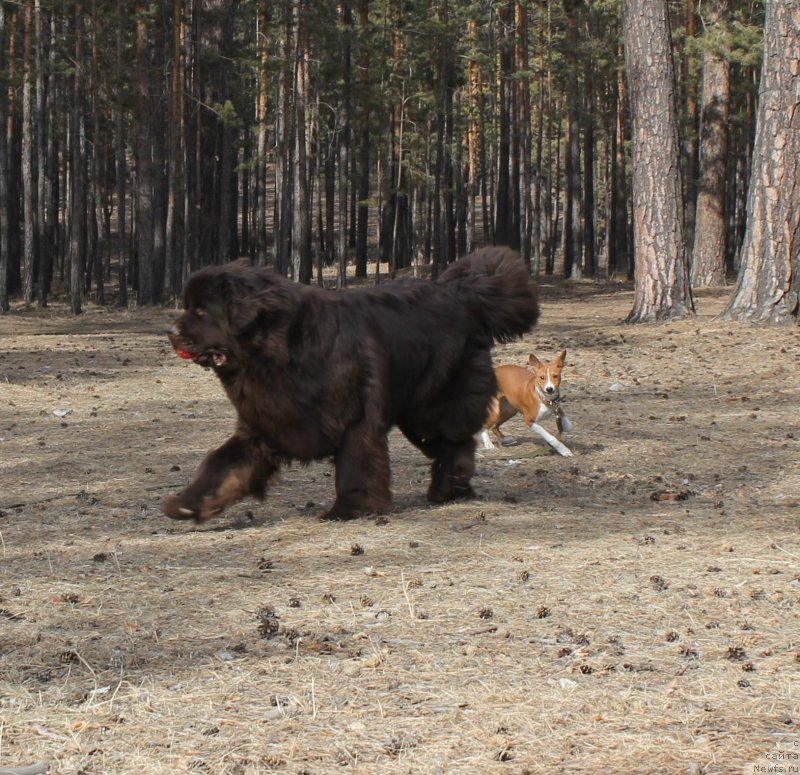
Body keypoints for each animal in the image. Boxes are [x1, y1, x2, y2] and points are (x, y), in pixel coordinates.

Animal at [164, 249, 536, 524]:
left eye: (201, 310)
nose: (171, 331)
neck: (278, 352)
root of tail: (462, 292)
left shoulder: (355, 421)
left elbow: (356, 466)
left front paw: (350, 510)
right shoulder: (264, 425)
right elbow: (222, 465)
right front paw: (189, 503)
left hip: (430, 407)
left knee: (454, 441)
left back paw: (449, 487)